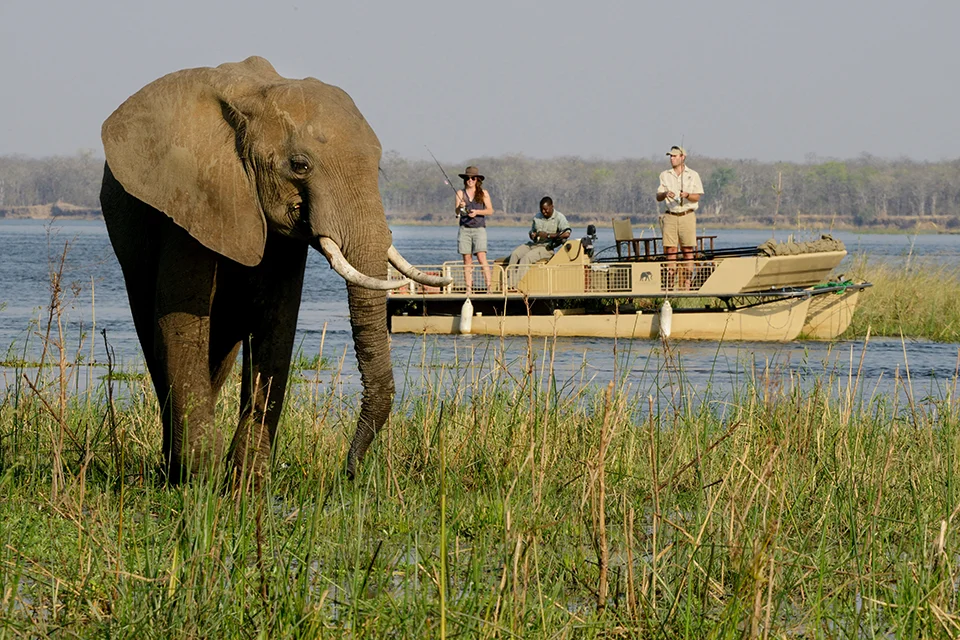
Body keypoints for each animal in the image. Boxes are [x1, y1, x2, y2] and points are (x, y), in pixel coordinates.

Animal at [99, 56, 448, 483]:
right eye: (299, 166)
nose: (349, 470)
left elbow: (277, 321)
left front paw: (246, 482)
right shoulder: (190, 195)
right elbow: (182, 321)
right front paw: (201, 479)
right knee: (156, 334)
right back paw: (173, 472)